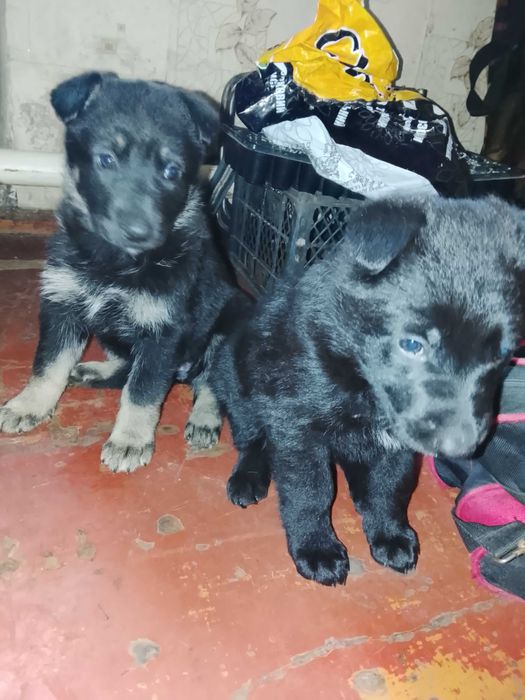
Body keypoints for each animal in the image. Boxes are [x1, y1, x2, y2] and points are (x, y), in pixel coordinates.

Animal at [0, 71, 246, 473]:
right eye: (106, 159)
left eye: (171, 170)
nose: (139, 232)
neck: (116, 263)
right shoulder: (62, 305)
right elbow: (48, 363)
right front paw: (30, 404)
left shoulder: (163, 331)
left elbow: (142, 391)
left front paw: (129, 441)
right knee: (123, 367)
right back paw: (94, 371)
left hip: (230, 321)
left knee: (210, 384)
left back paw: (204, 418)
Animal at [208, 196, 525, 586]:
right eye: (411, 344)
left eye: (503, 353)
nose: (462, 447)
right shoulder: (297, 427)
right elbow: (310, 490)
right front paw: (317, 548)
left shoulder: (400, 441)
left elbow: (390, 487)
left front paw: (389, 534)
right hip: (235, 382)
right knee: (251, 438)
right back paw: (248, 478)